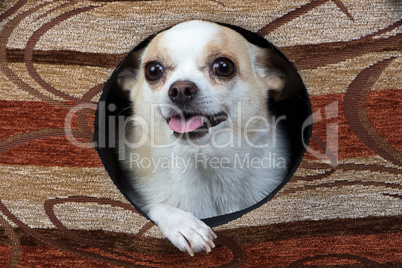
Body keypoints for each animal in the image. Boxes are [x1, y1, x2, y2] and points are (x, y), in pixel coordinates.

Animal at [114, 20, 300, 255]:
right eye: (153, 70)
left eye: (223, 67)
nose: (180, 89)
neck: (202, 162)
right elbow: (153, 206)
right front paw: (184, 225)